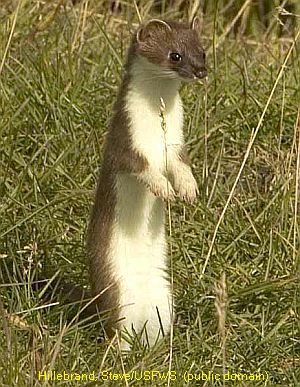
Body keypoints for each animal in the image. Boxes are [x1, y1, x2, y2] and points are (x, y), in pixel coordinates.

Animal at [86, 16, 207, 350]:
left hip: (163, 294)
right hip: (114, 285)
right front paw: (164, 188)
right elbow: (142, 169)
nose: (201, 70)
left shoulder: (176, 146)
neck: (156, 135)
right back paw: (122, 351)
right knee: (116, 324)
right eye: (174, 55)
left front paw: (188, 188)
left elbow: (180, 166)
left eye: (202, 51)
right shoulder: (124, 143)